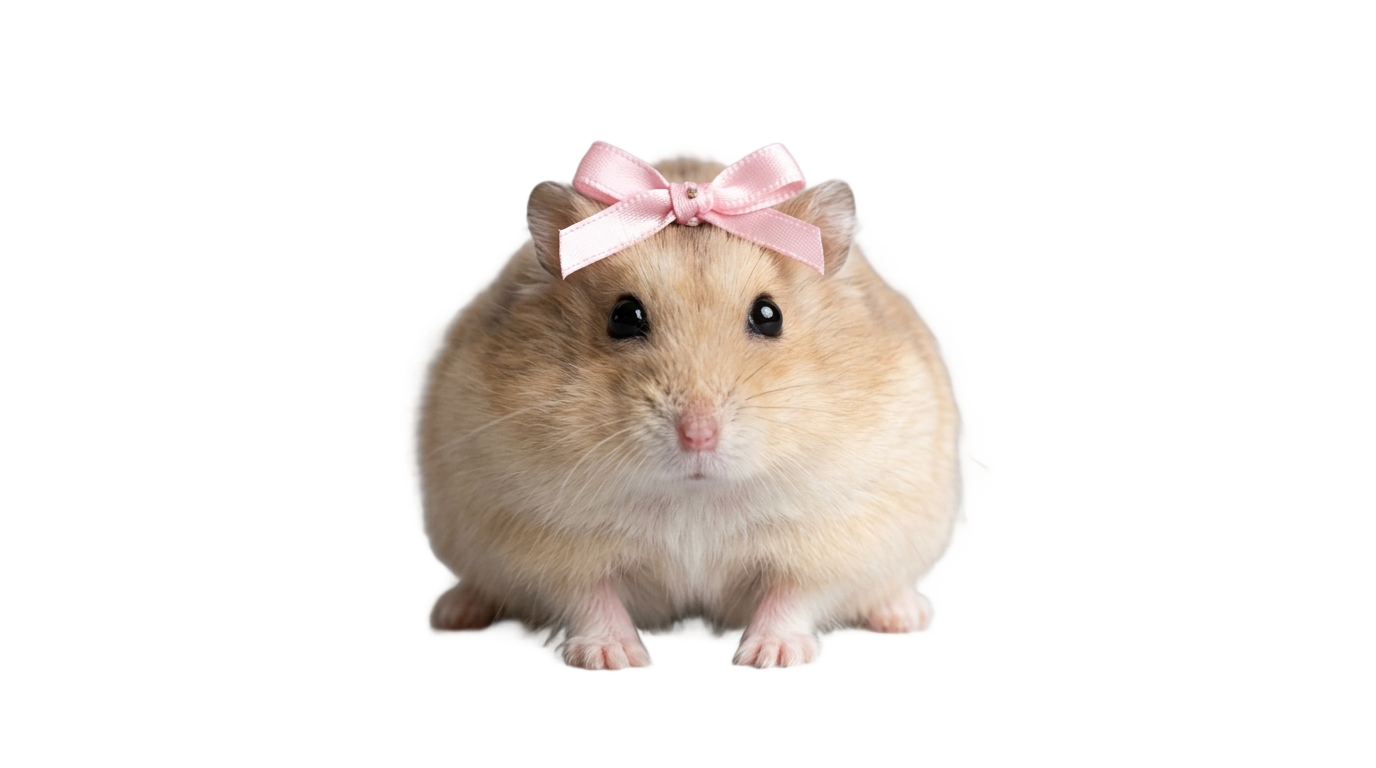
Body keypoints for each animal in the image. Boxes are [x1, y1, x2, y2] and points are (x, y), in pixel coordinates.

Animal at [417, 153, 955, 668]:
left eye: (769, 315)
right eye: (624, 316)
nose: (698, 436)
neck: (694, 498)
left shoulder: (835, 536)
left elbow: (792, 597)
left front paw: (772, 658)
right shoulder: (543, 542)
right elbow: (591, 599)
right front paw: (614, 661)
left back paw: (903, 613)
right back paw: (457, 612)